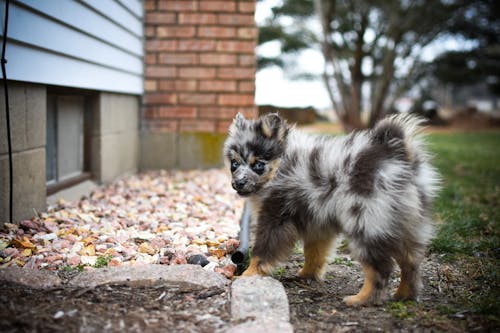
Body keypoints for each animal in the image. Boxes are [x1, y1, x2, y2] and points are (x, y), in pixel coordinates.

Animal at [225, 113, 440, 304]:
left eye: (258, 165)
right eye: (234, 164)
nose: (238, 183)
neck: (282, 166)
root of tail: (398, 156)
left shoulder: (274, 216)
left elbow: (261, 252)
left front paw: (248, 274)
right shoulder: (317, 225)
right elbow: (314, 253)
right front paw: (306, 274)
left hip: (366, 224)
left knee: (381, 268)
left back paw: (361, 299)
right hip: (406, 226)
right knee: (410, 262)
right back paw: (405, 295)